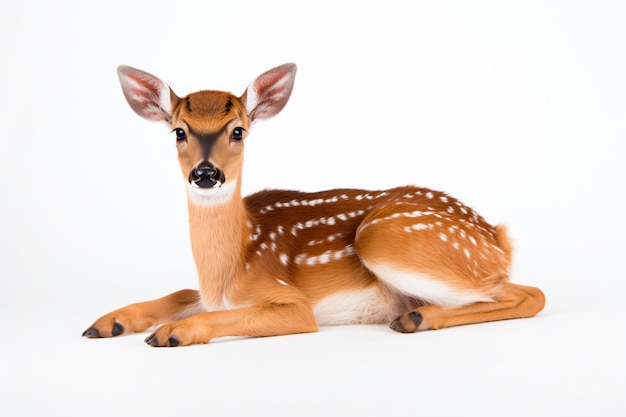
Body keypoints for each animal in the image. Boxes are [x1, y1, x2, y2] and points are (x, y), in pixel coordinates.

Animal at [81, 63, 540, 346]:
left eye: (238, 131)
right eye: (179, 131)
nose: (206, 173)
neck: (228, 269)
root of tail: (497, 239)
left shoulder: (294, 306)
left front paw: (172, 333)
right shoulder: (209, 292)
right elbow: (181, 291)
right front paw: (108, 322)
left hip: (388, 241)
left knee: (529, 293)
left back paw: (419, 318)